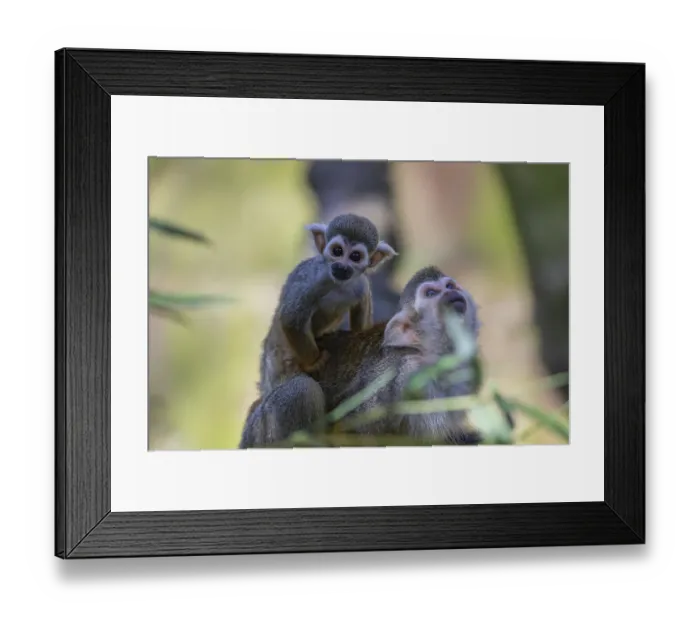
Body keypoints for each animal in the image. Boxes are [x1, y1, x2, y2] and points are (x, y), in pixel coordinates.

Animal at [239, 213, 397, 449]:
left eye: (355, 256)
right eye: (337, 251)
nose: (341, 266)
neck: (338, 284)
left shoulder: (360, 283)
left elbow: (361, 322)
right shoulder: (315, 277)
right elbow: (292, 318)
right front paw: (315, 362)